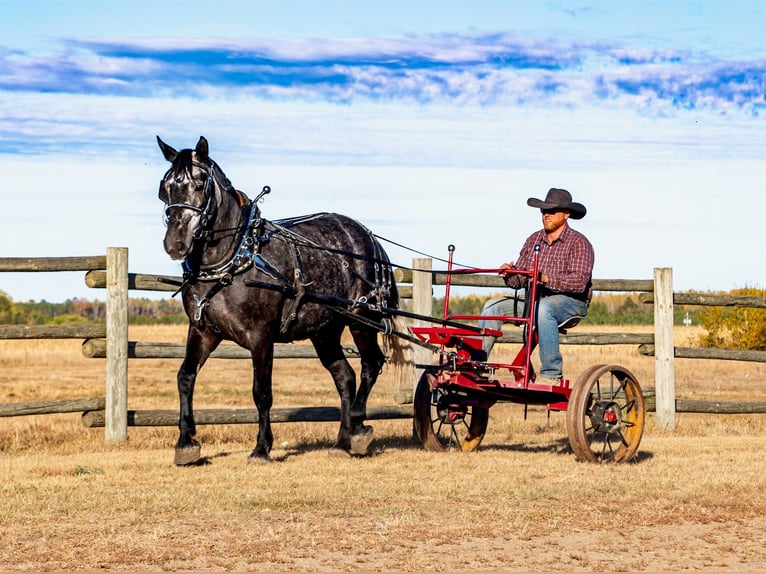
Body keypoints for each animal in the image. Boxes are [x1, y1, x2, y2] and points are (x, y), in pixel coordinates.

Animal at [158, 136, 408, 468]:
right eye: (165, 187)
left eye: (200, 184)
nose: (175, 243)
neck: (236, 257)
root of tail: (368, 236)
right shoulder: (203, 331)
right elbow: (185, 377)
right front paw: (186, 443)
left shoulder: (261, 336)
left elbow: (262, 392)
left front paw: (261, 449)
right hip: (324, 331)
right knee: (345, 376)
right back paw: (342, 441)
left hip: (361, 319)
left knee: (371, 364)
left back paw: (357, 427)